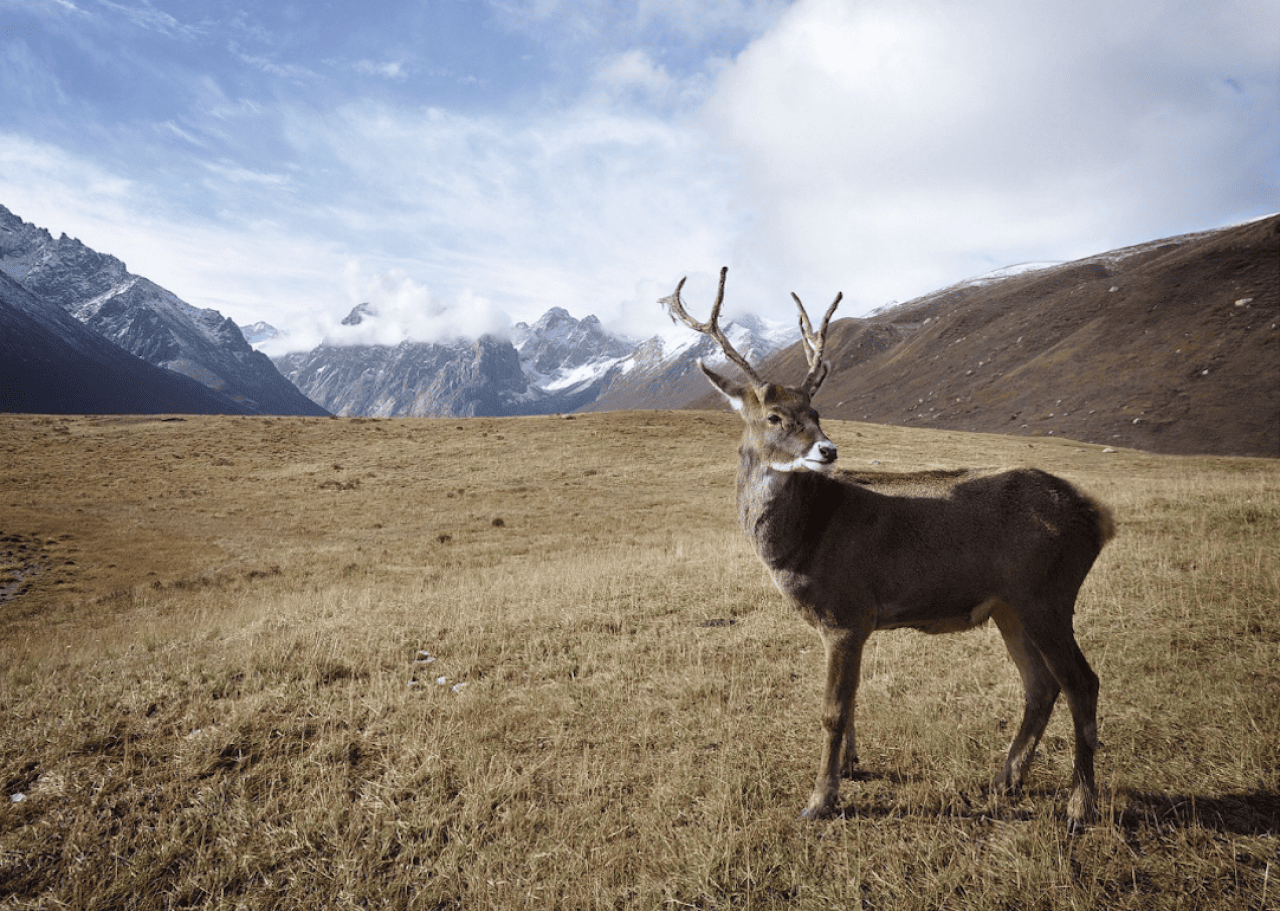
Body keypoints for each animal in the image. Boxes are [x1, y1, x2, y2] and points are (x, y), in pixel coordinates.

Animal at [662, 267, 1115, 829]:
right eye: (774, 417)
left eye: (816, 409)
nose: (828, 449)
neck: (803, 543)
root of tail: (1098, 517)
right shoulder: (846, 623)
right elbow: (852, 700)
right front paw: (850, 768)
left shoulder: (847, 610)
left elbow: (833, 710)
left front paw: (820, 800)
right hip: (1011, 605)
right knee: (1041, 685)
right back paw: (1005, 779)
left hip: (1047, 593)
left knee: (1082, 682)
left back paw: (1080, 805)